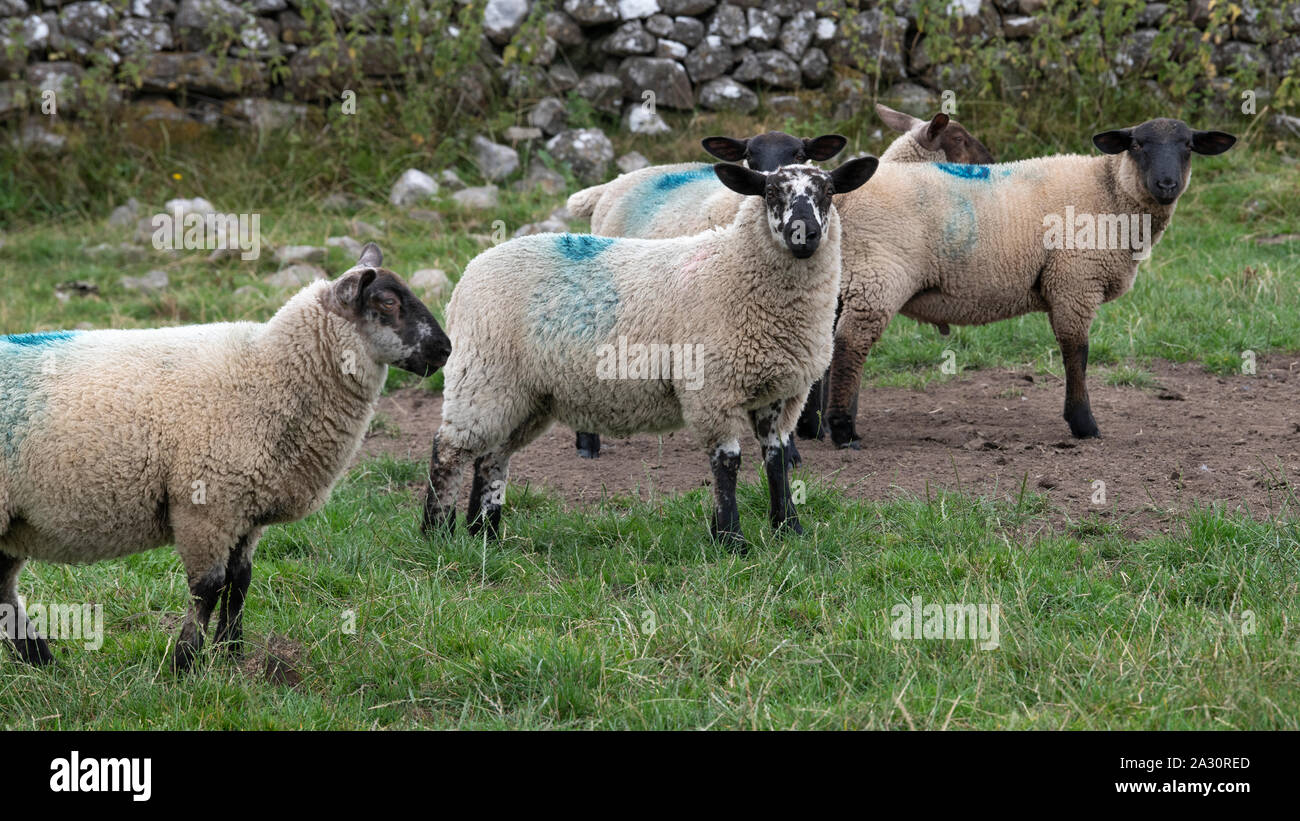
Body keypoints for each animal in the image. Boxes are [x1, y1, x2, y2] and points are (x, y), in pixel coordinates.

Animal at [0, 241, 452, 665]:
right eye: (388, 302)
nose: (446, 350)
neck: (268, 371)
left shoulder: (245, 510)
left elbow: (241, 579)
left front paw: (229, 651)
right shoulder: (206, 505)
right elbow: (208, 586)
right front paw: (185, 661)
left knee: (2, 589)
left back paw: (42, 660)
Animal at [421, 157, 878, 548]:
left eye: (828, 192)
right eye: (770, 192)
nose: (804, 234)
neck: (735, 269)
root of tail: (471, 270)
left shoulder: (783, 393)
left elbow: (777, 459)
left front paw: (787, 529)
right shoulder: (712, 390)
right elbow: (727, 462)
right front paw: (732, 540)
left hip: (526, 395)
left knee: (491, 457)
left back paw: (485, 535)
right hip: (484, 375)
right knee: (449, 450)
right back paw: (437, 533)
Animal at [811, 116, 1237, 449]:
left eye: (1188, 146)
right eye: (1137, 144)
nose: (1166, 184)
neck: (1110, 193)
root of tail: (840, 193)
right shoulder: (1075, 281)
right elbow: (1077, 352)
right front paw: (1083, 424)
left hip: (844, 278)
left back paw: (818, 426)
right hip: (879, 273)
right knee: (851, 345)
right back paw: (844, 431)